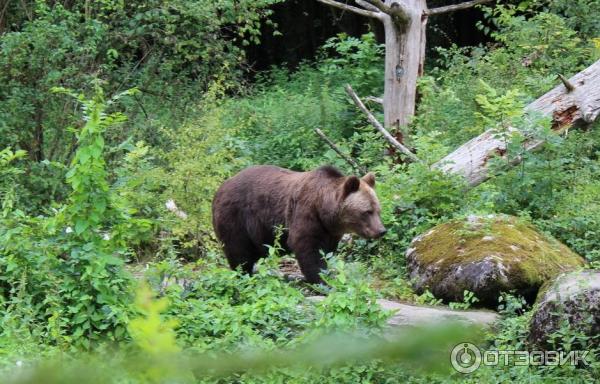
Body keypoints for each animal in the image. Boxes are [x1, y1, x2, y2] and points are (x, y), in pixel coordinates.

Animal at [213, 164, 386, 284]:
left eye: (378, 210)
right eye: (367, 211)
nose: (381, 230)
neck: (324, 211)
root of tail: (221, 187)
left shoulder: (330, 232)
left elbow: (327, 251)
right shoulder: (305, 213)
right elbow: (308, 249)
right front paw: (322, 281)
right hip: (236, 217)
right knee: (239, 251)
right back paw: (244, 275)